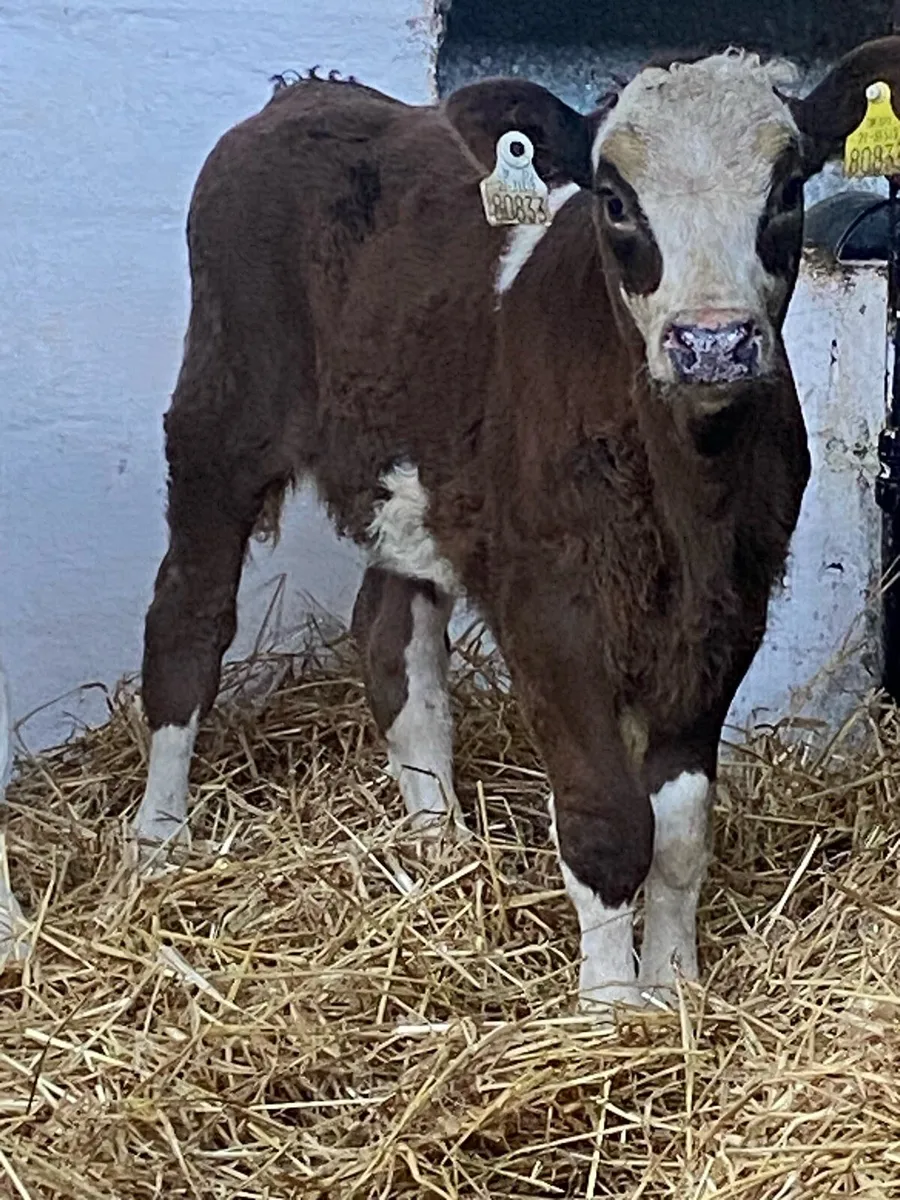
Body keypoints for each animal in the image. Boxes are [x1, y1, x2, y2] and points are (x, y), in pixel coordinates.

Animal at [132, 37, 900, 1011]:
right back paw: (159, 840)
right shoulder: (550, 606)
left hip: (417, 483)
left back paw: (438, 844)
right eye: (615, 200)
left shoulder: (729, 611)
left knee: (392, 637)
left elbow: (682, 828)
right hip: (220, 419)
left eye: (788, 189)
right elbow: (608, 818)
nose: (712, 342)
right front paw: (610, 1009)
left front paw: (677, 988)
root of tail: (306, 95)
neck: (686, 493)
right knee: (188, 617)